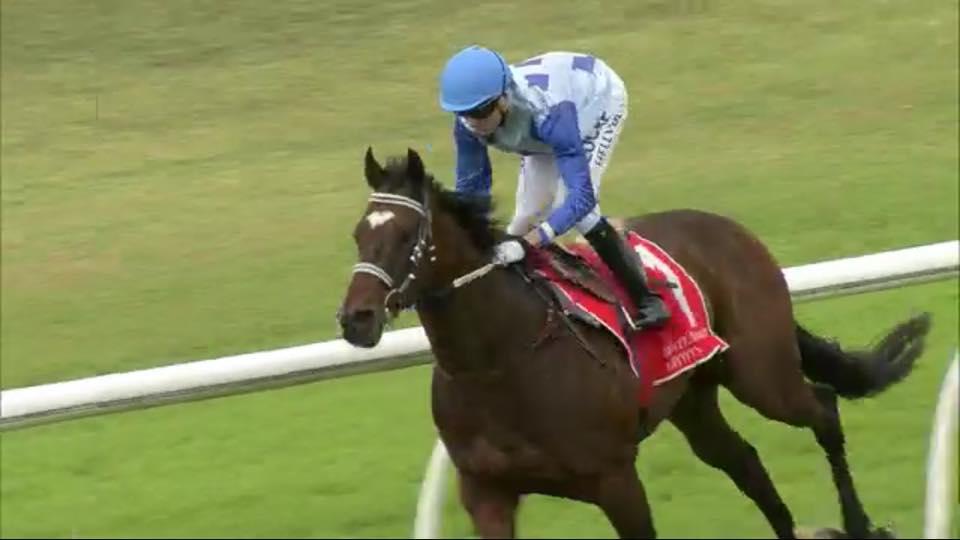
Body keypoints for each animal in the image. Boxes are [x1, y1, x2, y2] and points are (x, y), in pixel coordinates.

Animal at [337, 147, 932, 539]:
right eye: (359, 234)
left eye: (407, 236)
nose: (356, 318)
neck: (497, 362)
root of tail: (731, 230)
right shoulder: (487, 491)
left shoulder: (615, 479)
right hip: (693, 397)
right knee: (745, 462)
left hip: (761, 374)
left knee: (823, 409)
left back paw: (860, 524)